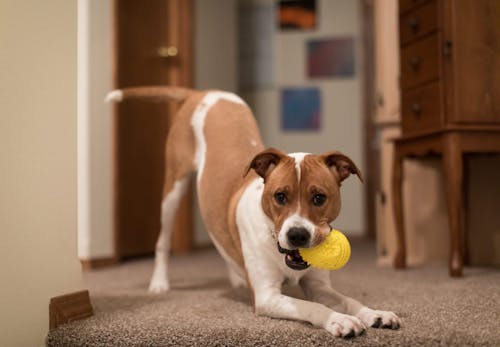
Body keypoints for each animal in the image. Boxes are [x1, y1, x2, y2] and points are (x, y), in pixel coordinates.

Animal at [107, 87, 400, 340]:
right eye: (280, 196)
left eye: (319, 198)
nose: (297, 235)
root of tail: (202, 92)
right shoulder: (267, 297)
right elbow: (312, 307)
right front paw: (338, 320)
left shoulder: (319, 285)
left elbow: (348, 300)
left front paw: (374, 313)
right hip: (173, 189)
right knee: (163, 240)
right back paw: (159, 283)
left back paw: (235, 277)